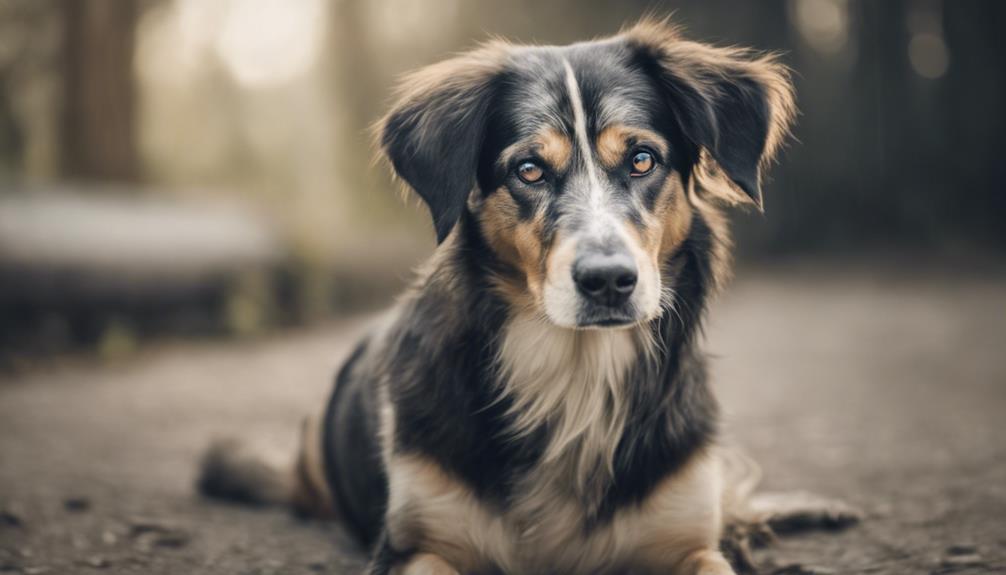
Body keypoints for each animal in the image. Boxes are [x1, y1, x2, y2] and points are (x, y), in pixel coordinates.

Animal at [198, 19, 857, 575]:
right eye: (530, 170)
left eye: (643, 159)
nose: (608, 280)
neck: (575, 374)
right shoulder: (416, 546)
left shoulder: (687, 540)